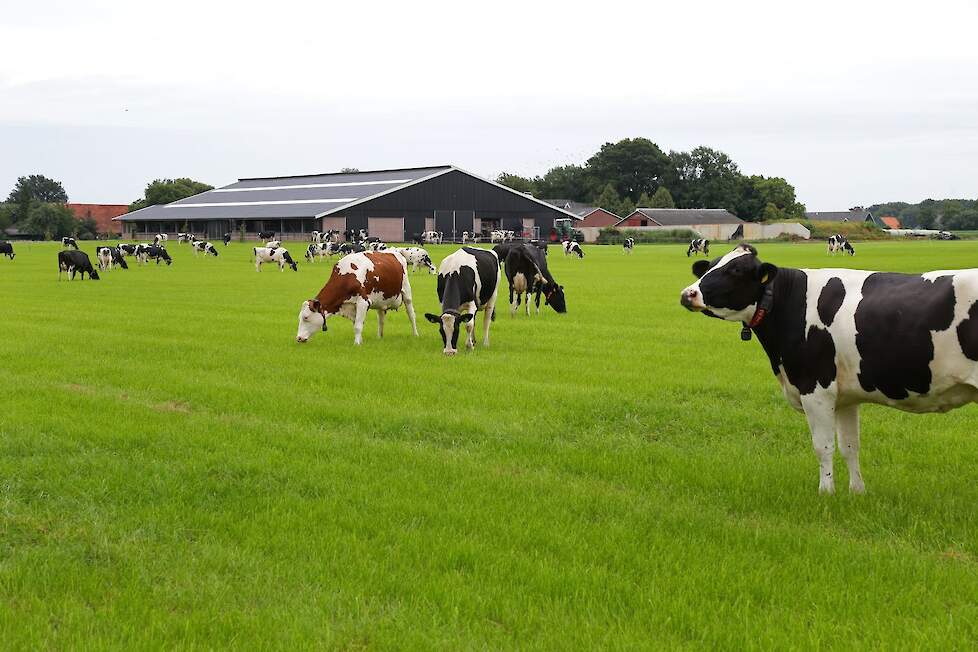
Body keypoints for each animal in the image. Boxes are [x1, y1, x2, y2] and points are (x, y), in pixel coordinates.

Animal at [680, 244, 976, 494]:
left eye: (736, 271)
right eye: (711, 265)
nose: (687, 294)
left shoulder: (815, 388)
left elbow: (823, 446)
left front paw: (826, 493)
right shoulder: (846, 396)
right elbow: (850, 446)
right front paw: (857, 492)